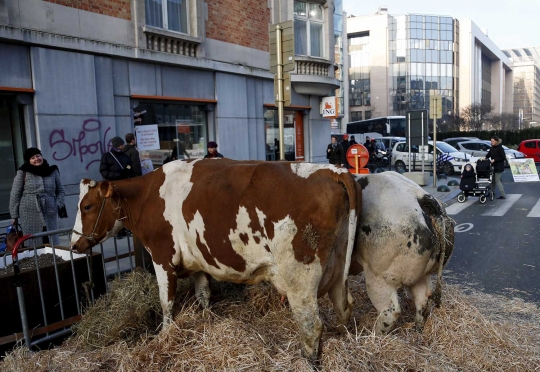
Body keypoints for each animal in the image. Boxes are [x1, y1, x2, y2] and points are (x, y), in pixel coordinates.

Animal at [69, 158, 360, 362]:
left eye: (87, 206)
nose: (74, 244)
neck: (147, 196)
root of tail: (331, 170)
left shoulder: (162, 258)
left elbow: (166, 302)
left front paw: (164, 335)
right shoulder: (199, 261)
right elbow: (204, 295)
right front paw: (208, 321)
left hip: (300, 276)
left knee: (310, 324)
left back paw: (308, 360)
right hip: (337, 265)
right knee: (343, 306)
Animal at [348, 172, 454, 334]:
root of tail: (423, 198)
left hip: (380, 277)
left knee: (390, 311)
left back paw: (372, 334)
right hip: (422, 275)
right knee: (423, 300)